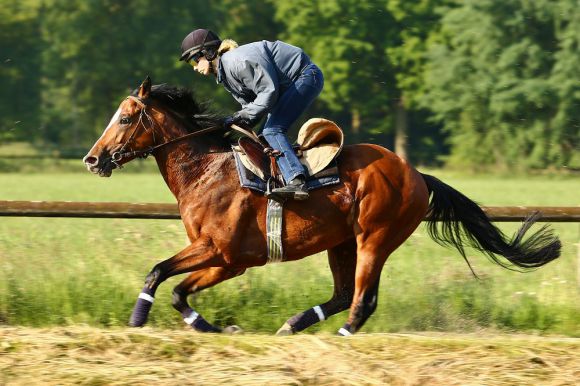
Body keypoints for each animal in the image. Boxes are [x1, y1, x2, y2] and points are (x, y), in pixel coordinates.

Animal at [84, 77, 560, 334]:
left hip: (375, 238)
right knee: (344, 293)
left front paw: (138, 320)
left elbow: (159, 273)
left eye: (124, 118)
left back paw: (342, 335)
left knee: (362, 300)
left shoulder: (220, 251)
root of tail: (416, 174)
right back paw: (293, 324)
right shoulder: (229, 260)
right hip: (341, 242)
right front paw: (212, 326)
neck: (206, 170)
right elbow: (177, 289)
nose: (92, 159)